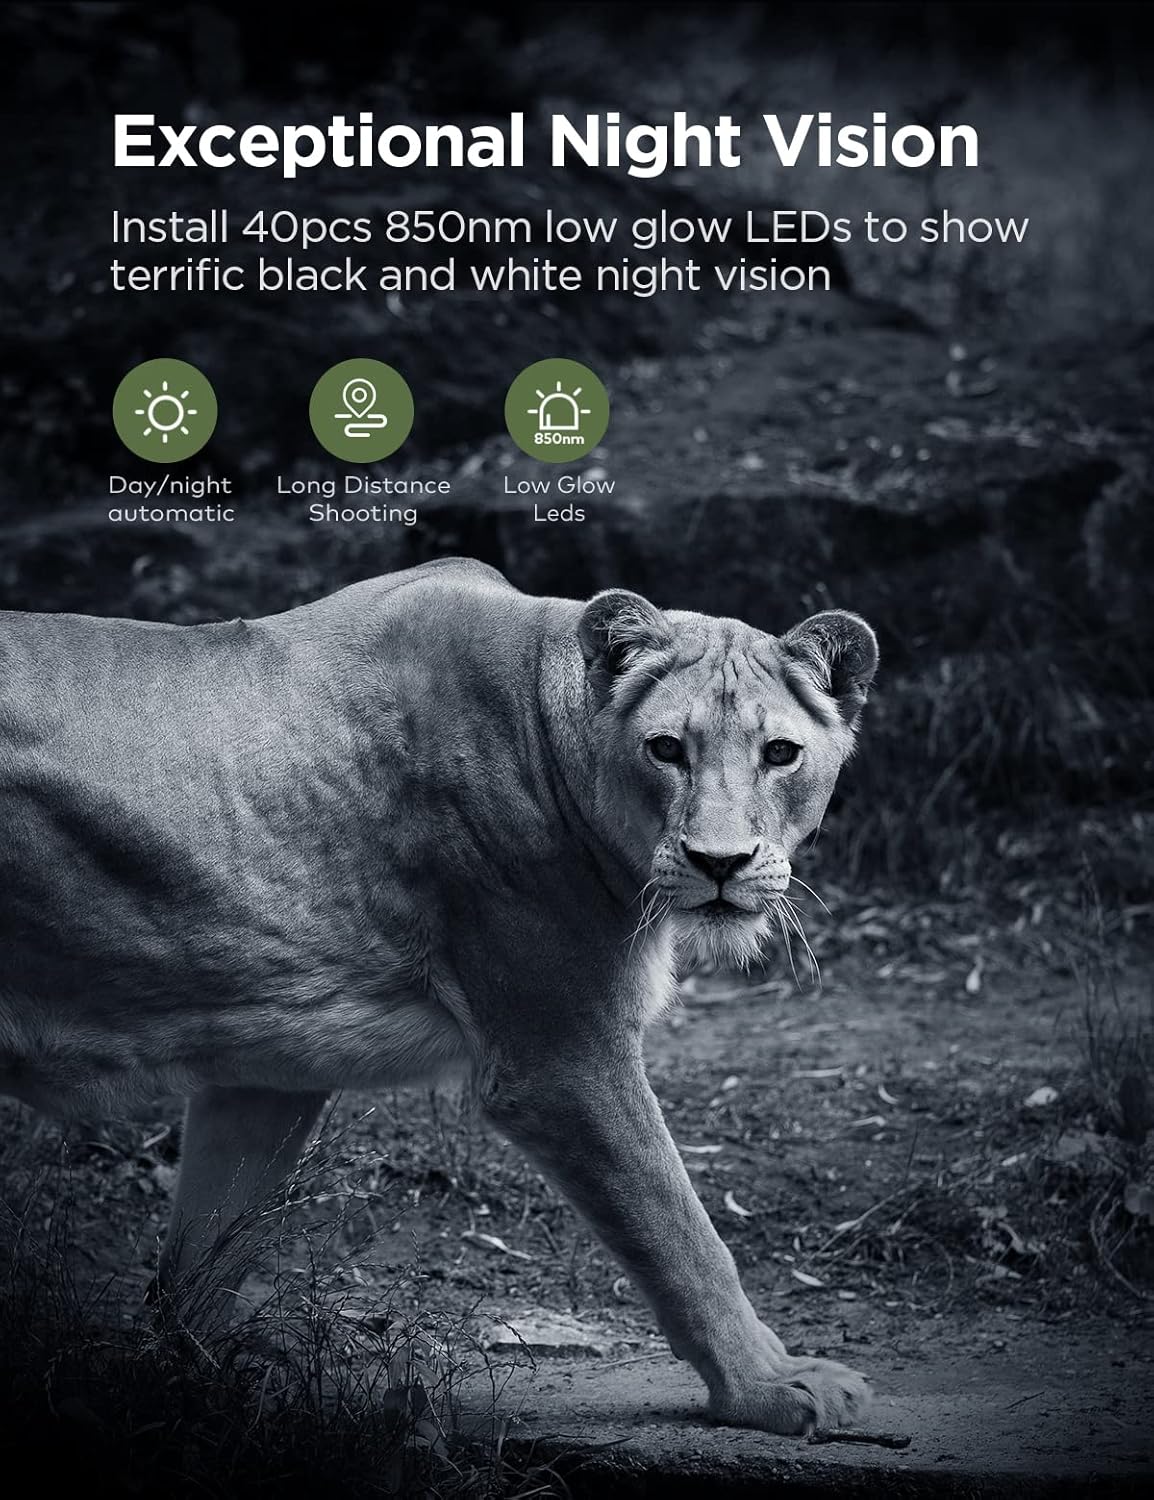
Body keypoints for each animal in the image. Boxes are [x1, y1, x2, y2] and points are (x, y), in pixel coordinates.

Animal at [0, 557, 878, 1435]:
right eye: (666, 749)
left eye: (780, 753)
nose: (720, 862)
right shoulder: (562, 1058)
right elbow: (681, 1232)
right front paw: (771, 1386)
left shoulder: (269, 1066)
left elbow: (205, 1258)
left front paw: (202, 1393)